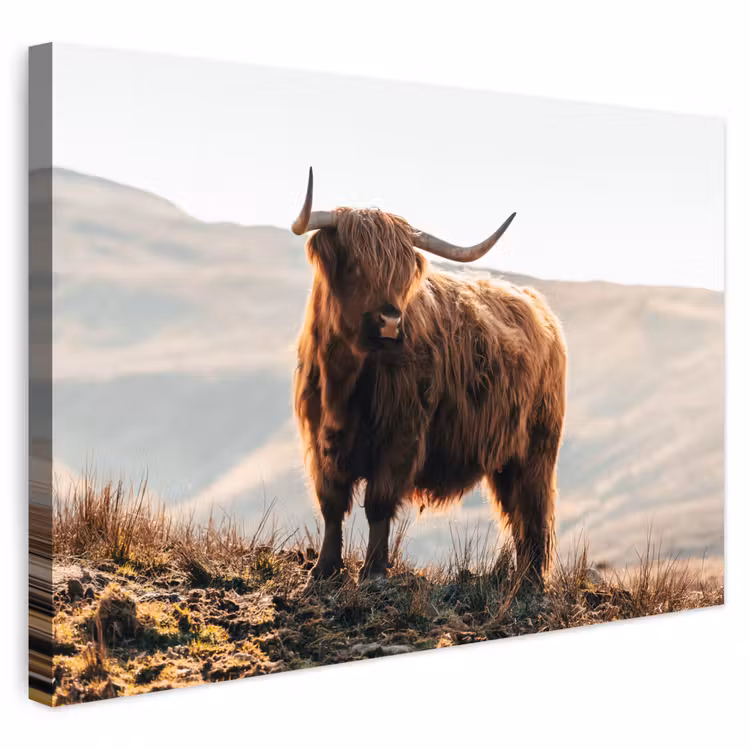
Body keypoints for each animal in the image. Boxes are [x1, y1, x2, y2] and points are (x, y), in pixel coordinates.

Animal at [292, 168, 566, 583]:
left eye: (403, 275)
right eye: (354, 265)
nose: (390, 322)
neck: (344, 380)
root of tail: (537, 304)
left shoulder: (401, 437)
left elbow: (378, 504)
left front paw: (373, 571)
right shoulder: (321, 440)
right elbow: (332, 505)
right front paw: (324, 569)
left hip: (536, 449)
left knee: (531, 513)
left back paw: (529, 582)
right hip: (507, 460)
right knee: (518, 515)